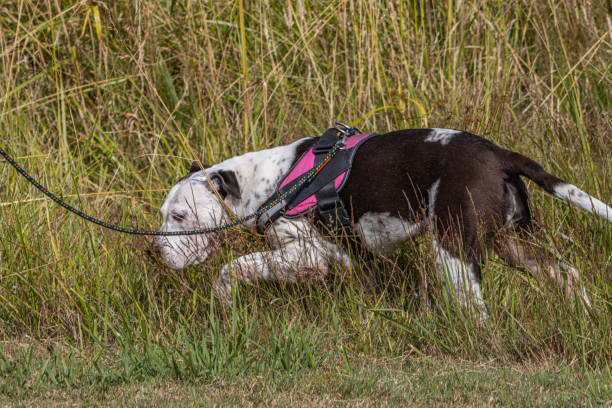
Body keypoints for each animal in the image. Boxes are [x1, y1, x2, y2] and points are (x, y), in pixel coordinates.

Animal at [151, 129, 608, 310]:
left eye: (180, 215)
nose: (154, 251)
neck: (269, 182)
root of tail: (498, 153)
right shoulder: (356, 260)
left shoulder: (310, 256)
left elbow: (233, 267)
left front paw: (223, 304)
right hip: (514, 242)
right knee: (565, 274)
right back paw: (582, 316)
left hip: (454, 251)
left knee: (474, 307)